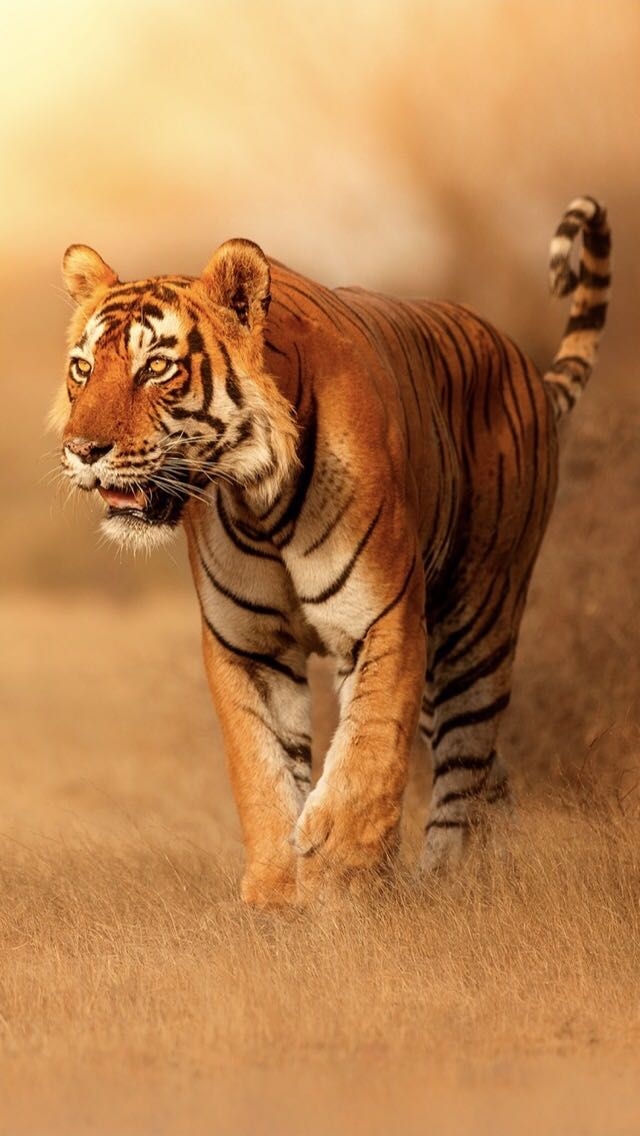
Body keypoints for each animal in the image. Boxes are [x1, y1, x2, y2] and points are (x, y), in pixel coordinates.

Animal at [53, 196, 611, 906]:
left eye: (156, 367)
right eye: (83, 368)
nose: (81, 450)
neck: (257, 499)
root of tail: (525, 367)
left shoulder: (384, 618)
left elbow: (368, 751)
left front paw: (340, 876)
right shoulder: (248, 644)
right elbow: (261, 768)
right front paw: (275, 893)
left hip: (476, 623)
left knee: (465, 762)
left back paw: (447, 881)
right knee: (490, 771)